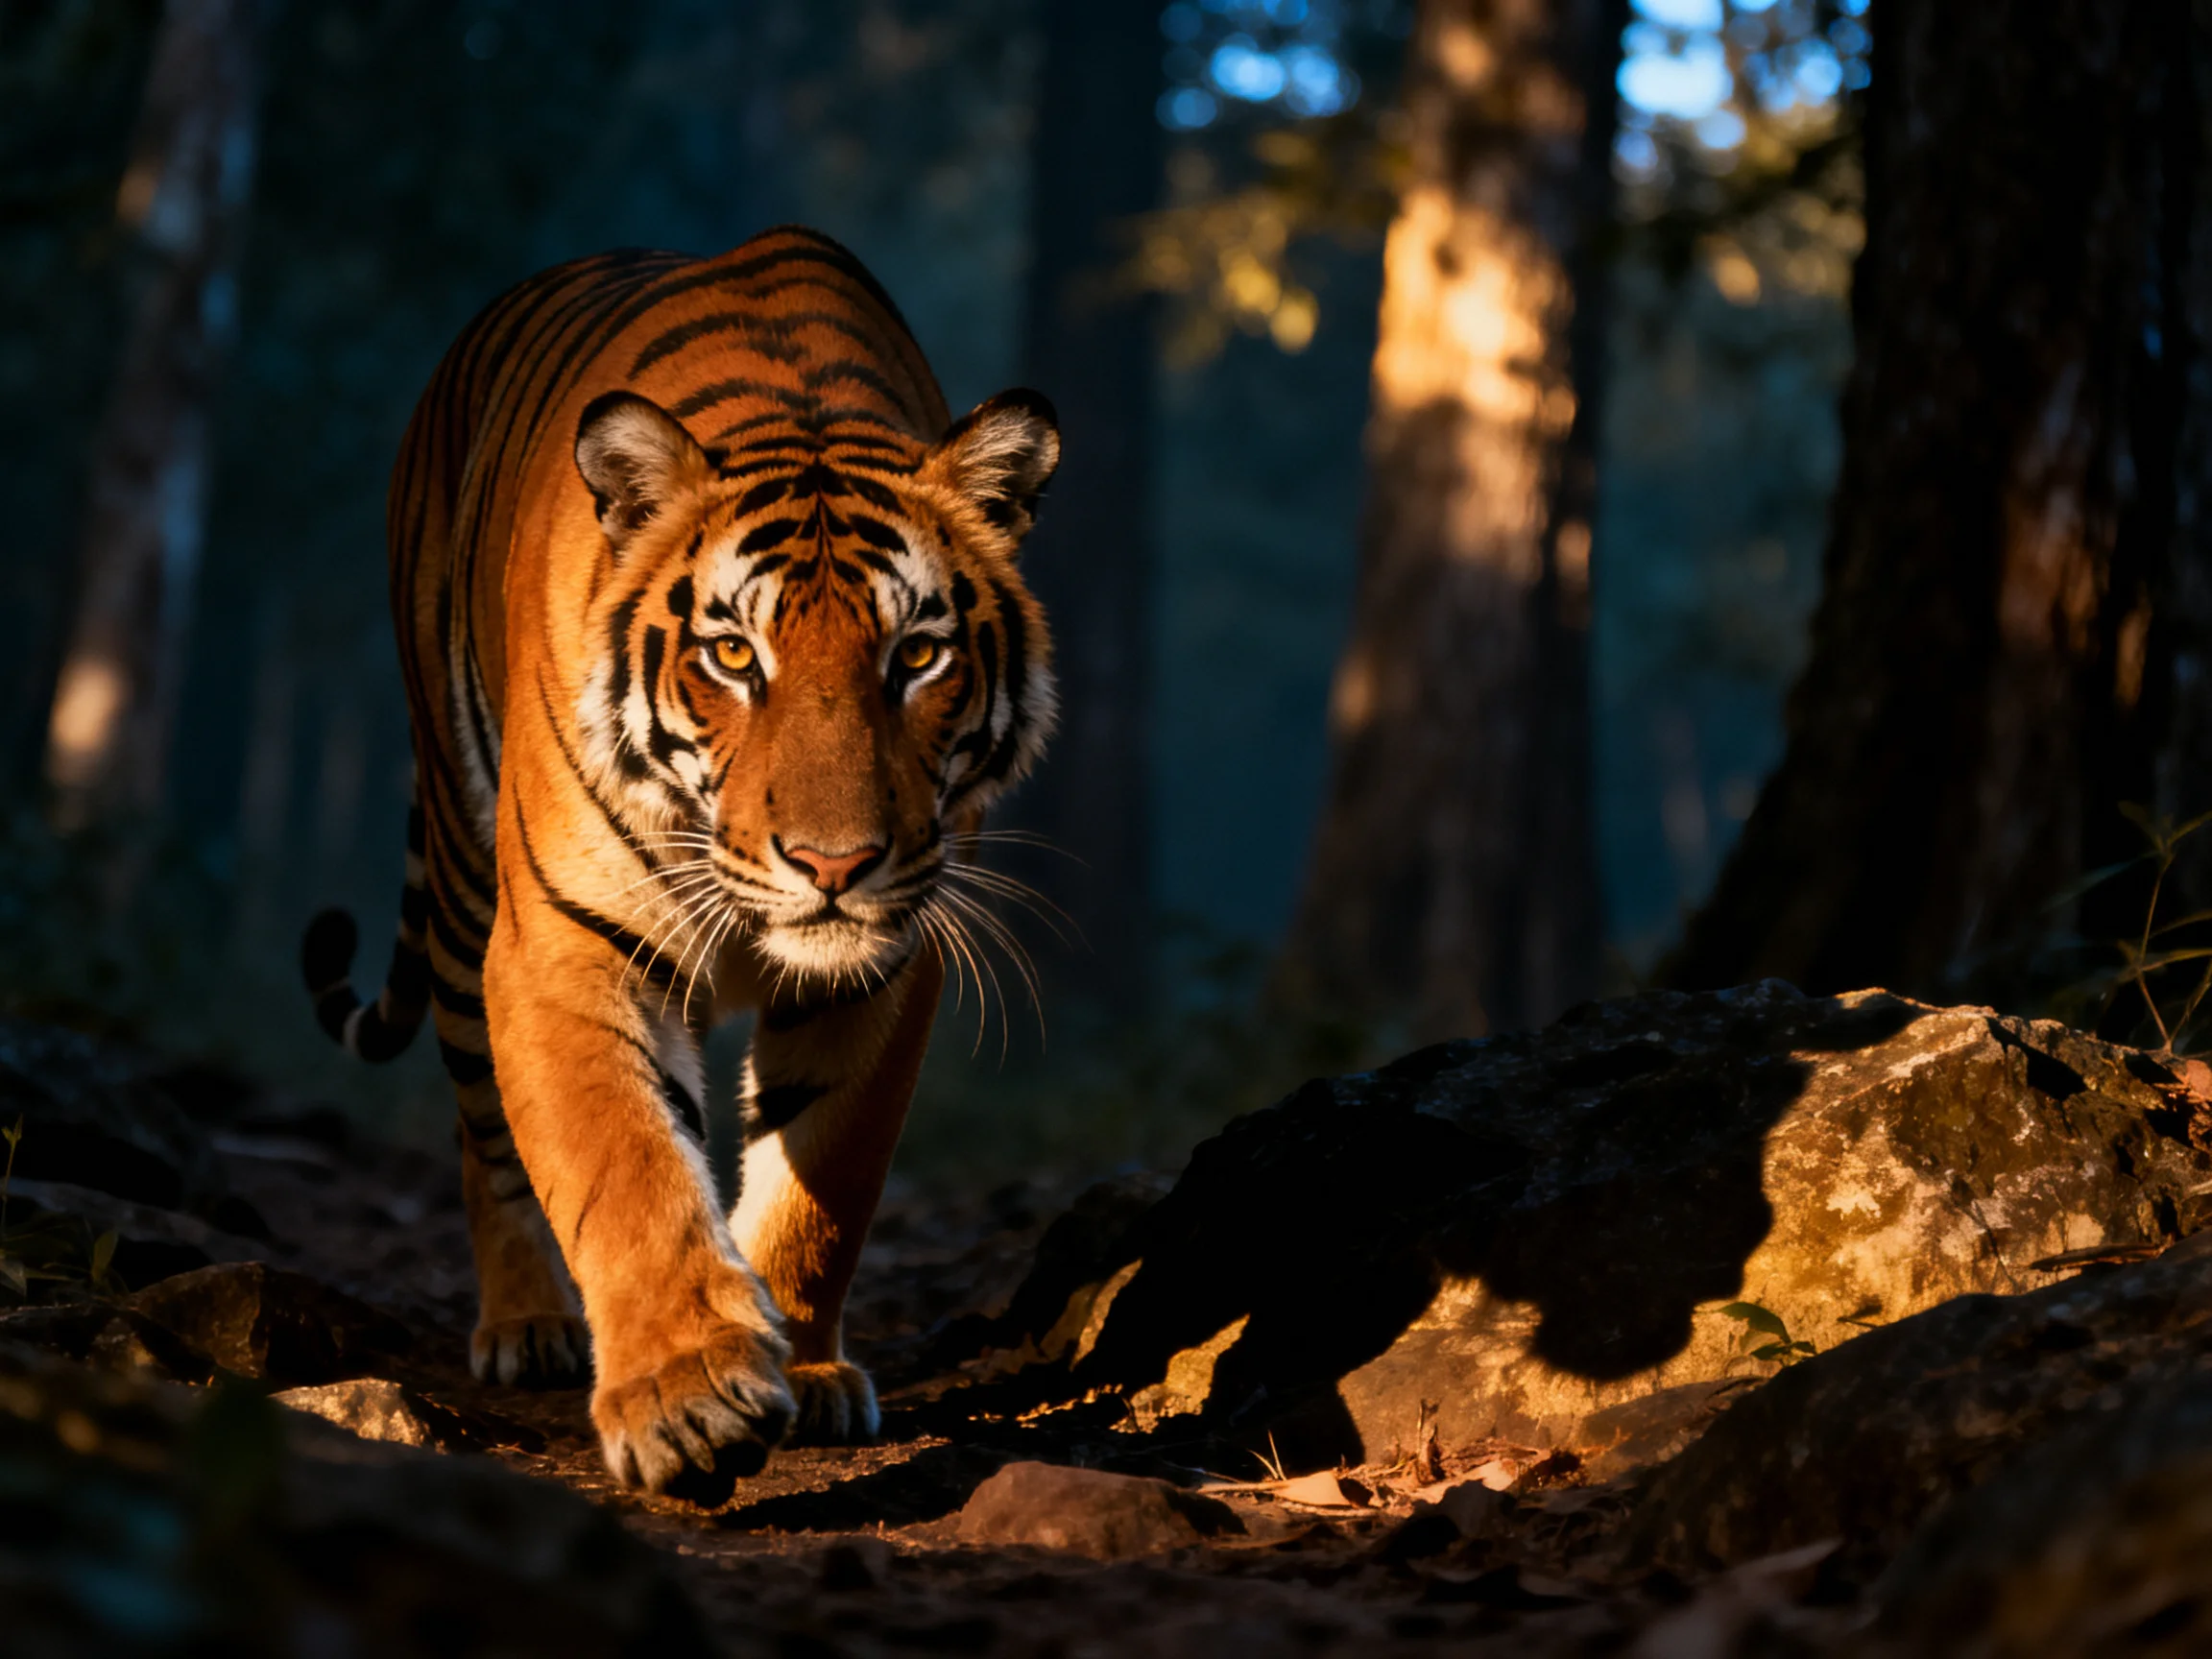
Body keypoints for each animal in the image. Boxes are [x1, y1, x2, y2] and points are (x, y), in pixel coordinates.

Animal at [300, 226, 1058, 1500]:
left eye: (917, 655)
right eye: (733, 655)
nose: (834, 863)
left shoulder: (888, 961)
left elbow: (822, 1181)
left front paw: (804, 1367)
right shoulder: (564, 939)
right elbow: (624, 1162)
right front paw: (686, 1395)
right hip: (458, 885)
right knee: (480, 1121)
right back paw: (528, 1326)